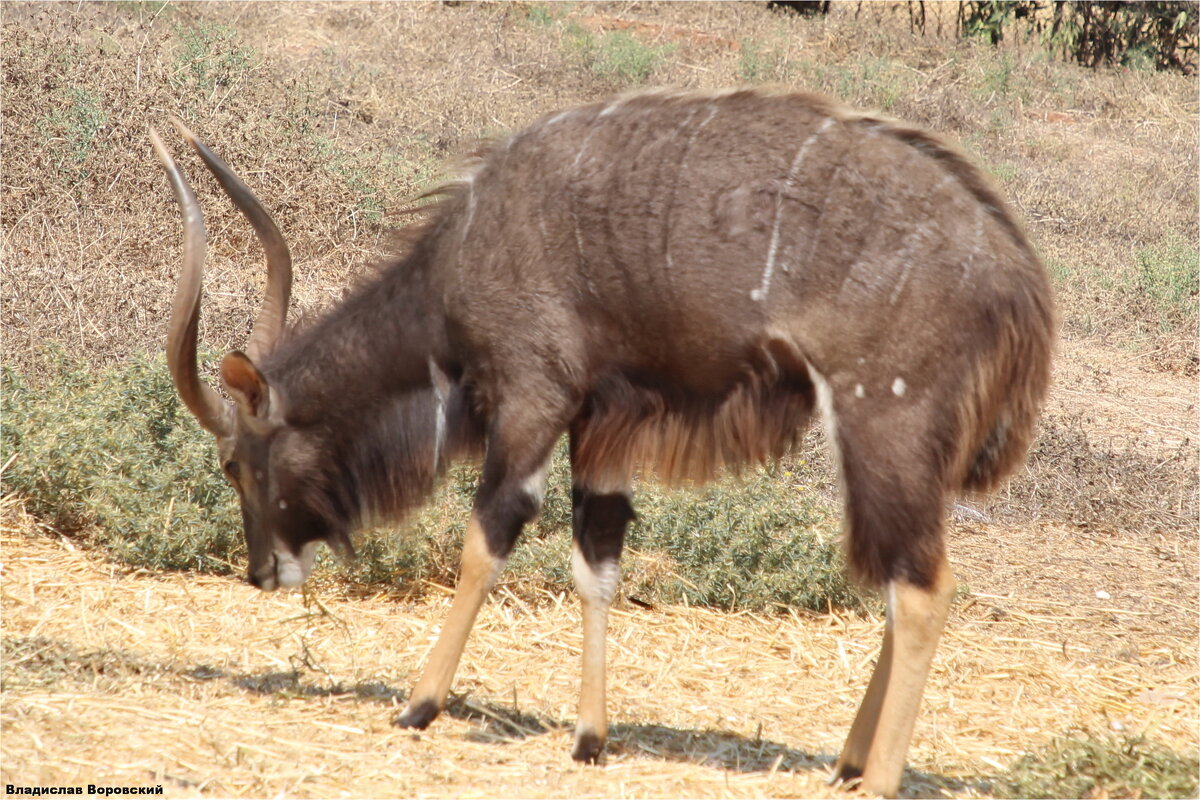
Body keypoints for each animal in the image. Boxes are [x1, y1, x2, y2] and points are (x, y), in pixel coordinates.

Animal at [152, 87, 1051, 796]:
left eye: (234, 463)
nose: (262, 571)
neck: (465, 256)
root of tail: (1020, 282)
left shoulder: (533, 399)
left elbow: (487, 540)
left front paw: (418, 705)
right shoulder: (607, 428)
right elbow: (598, 564)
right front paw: (590, 739)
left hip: (882, 425)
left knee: (923, 589)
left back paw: (881, 775)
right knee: (902, 580)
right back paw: (849, 761)